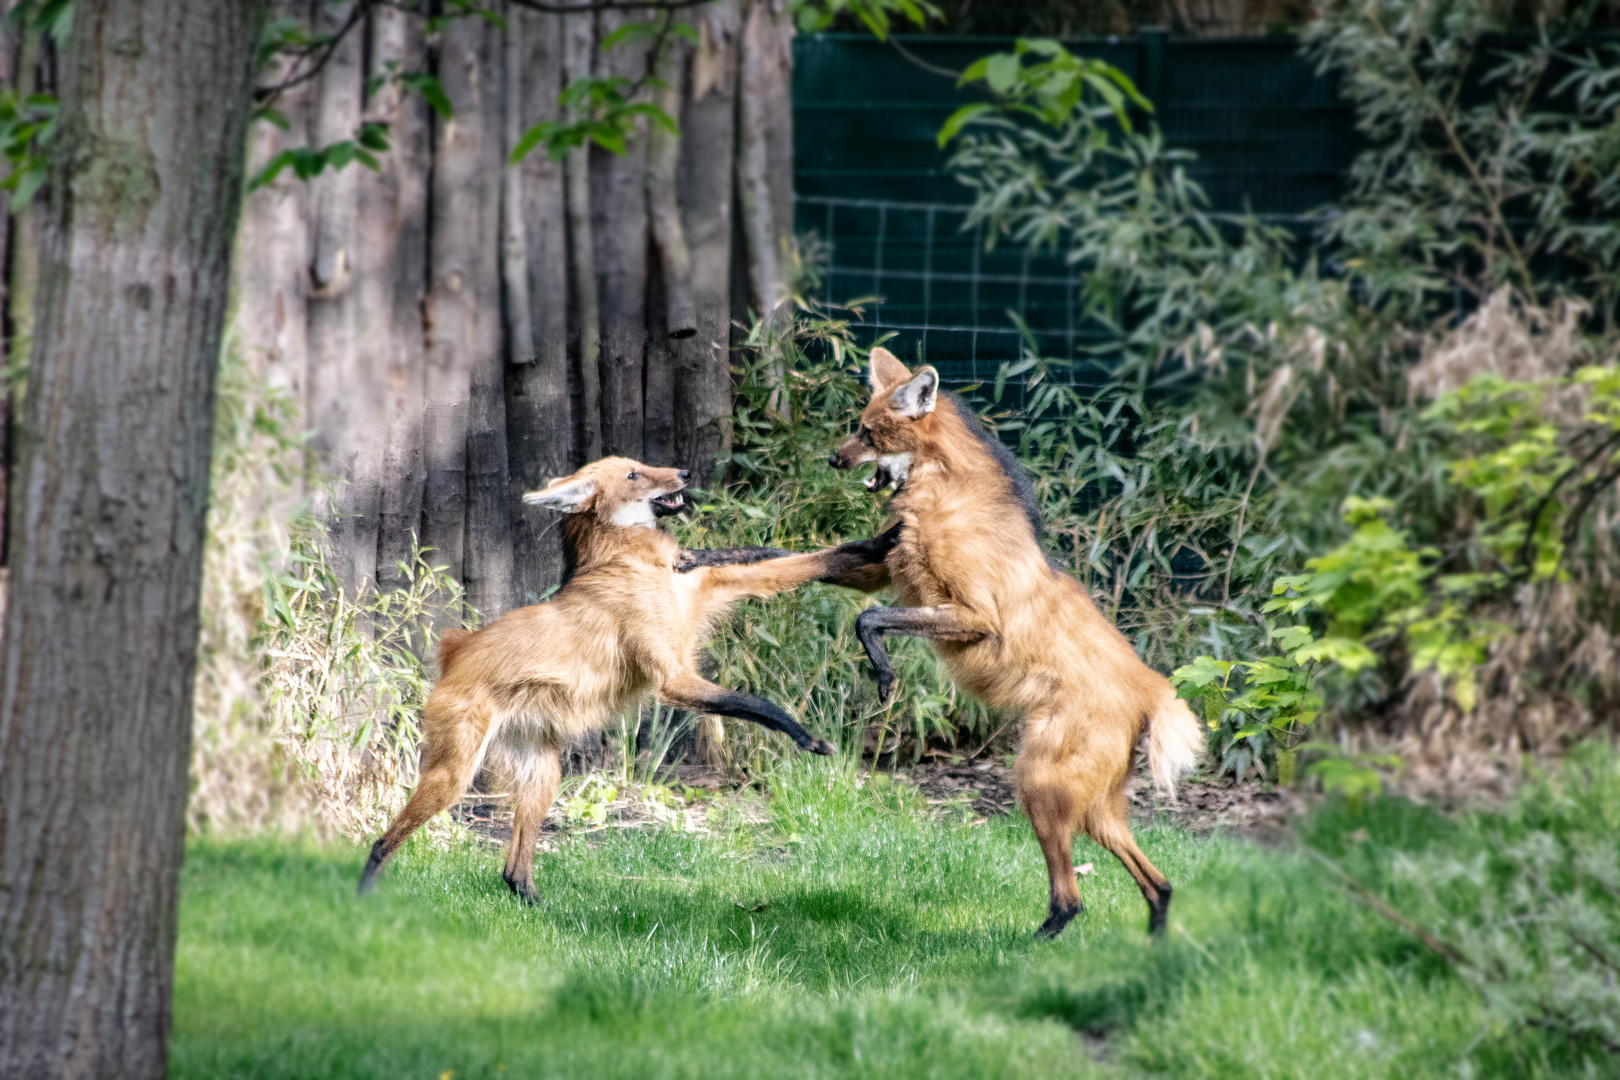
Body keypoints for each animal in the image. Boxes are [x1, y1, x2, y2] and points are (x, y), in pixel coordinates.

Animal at [358, 456, 900, 906]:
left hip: (543, 773)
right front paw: (812, 741)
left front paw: (883, 537)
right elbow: (758, 704)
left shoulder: (708, 587)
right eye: (635, 474)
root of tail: (454, 652)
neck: (636, 561)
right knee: (383, 840)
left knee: (513, 870)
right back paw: (363, 899)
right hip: (455, 775)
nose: (684, 472)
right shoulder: (672, 678)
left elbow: (807, 560)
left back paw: (545, 909)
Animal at [835, 351, 1205, 939]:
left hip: (1039, 784)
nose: (833, 458)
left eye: (866, 431)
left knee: (1072, 897)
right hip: (1092, 808)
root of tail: (1151, 688)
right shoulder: (895, 573)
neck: (944, 496)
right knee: (1158, 883)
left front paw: (885, 679)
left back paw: (1028, 945)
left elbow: (868, 618)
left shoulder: (974, 617)